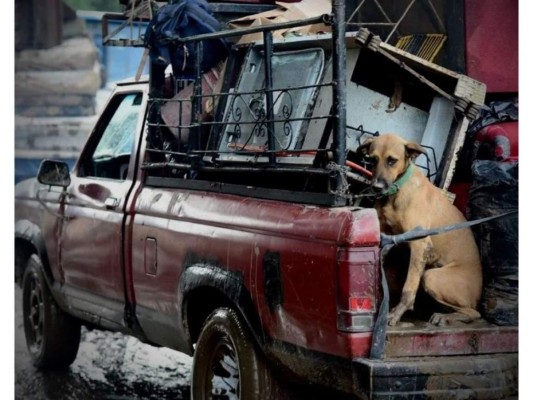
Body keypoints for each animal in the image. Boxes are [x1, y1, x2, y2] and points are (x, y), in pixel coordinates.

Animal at [358, 133, 482, 326]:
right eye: (372, 160)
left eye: (392, 160)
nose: (376, 188)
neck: (397, 190)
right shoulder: (385, 237)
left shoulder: (420, 245)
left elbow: (409, 288)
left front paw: (396, 314)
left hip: (432, 277)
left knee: (474, 312)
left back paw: (445, 317)